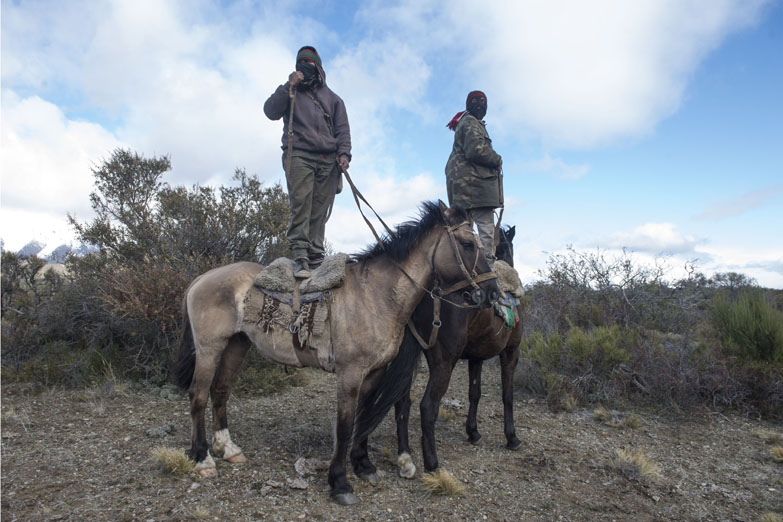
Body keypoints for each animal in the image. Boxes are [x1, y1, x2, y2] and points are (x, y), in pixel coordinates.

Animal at [175, 201, 500, 502]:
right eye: (468, 244)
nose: (492, 294)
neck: (376, 296)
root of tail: (201, 278)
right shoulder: (350, 373)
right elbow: (345, 425)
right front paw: (340, 482)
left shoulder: (374, 372)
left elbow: (362, 419)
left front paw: (363, 465)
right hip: (209, 348)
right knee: (198, 395)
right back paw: (203, 458)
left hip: (236, 344)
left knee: (220, 391)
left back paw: (228, 449)